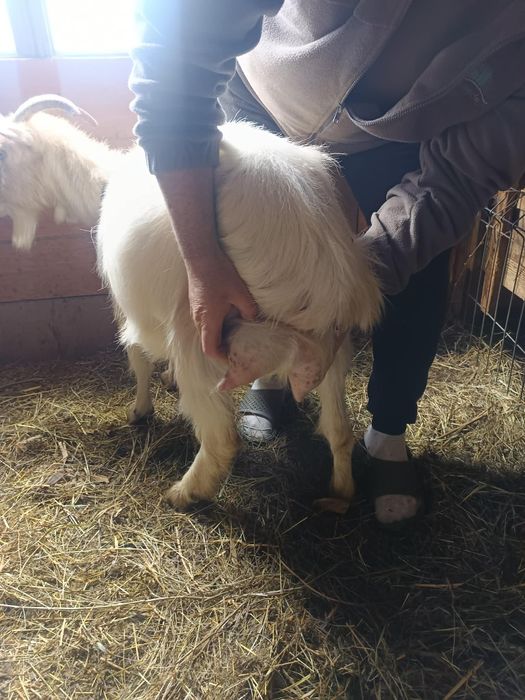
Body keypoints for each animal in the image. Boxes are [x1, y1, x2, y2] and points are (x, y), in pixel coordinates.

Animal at [3, 95, 383, 510]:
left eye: (3, 152)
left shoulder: (128, 305)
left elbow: (136, 359)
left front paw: (140, 410)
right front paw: (165, 380)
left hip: (203, 324)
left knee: (221, 438)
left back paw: (184, 493)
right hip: (330, 343)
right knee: (339, 430)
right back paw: (340, 492)